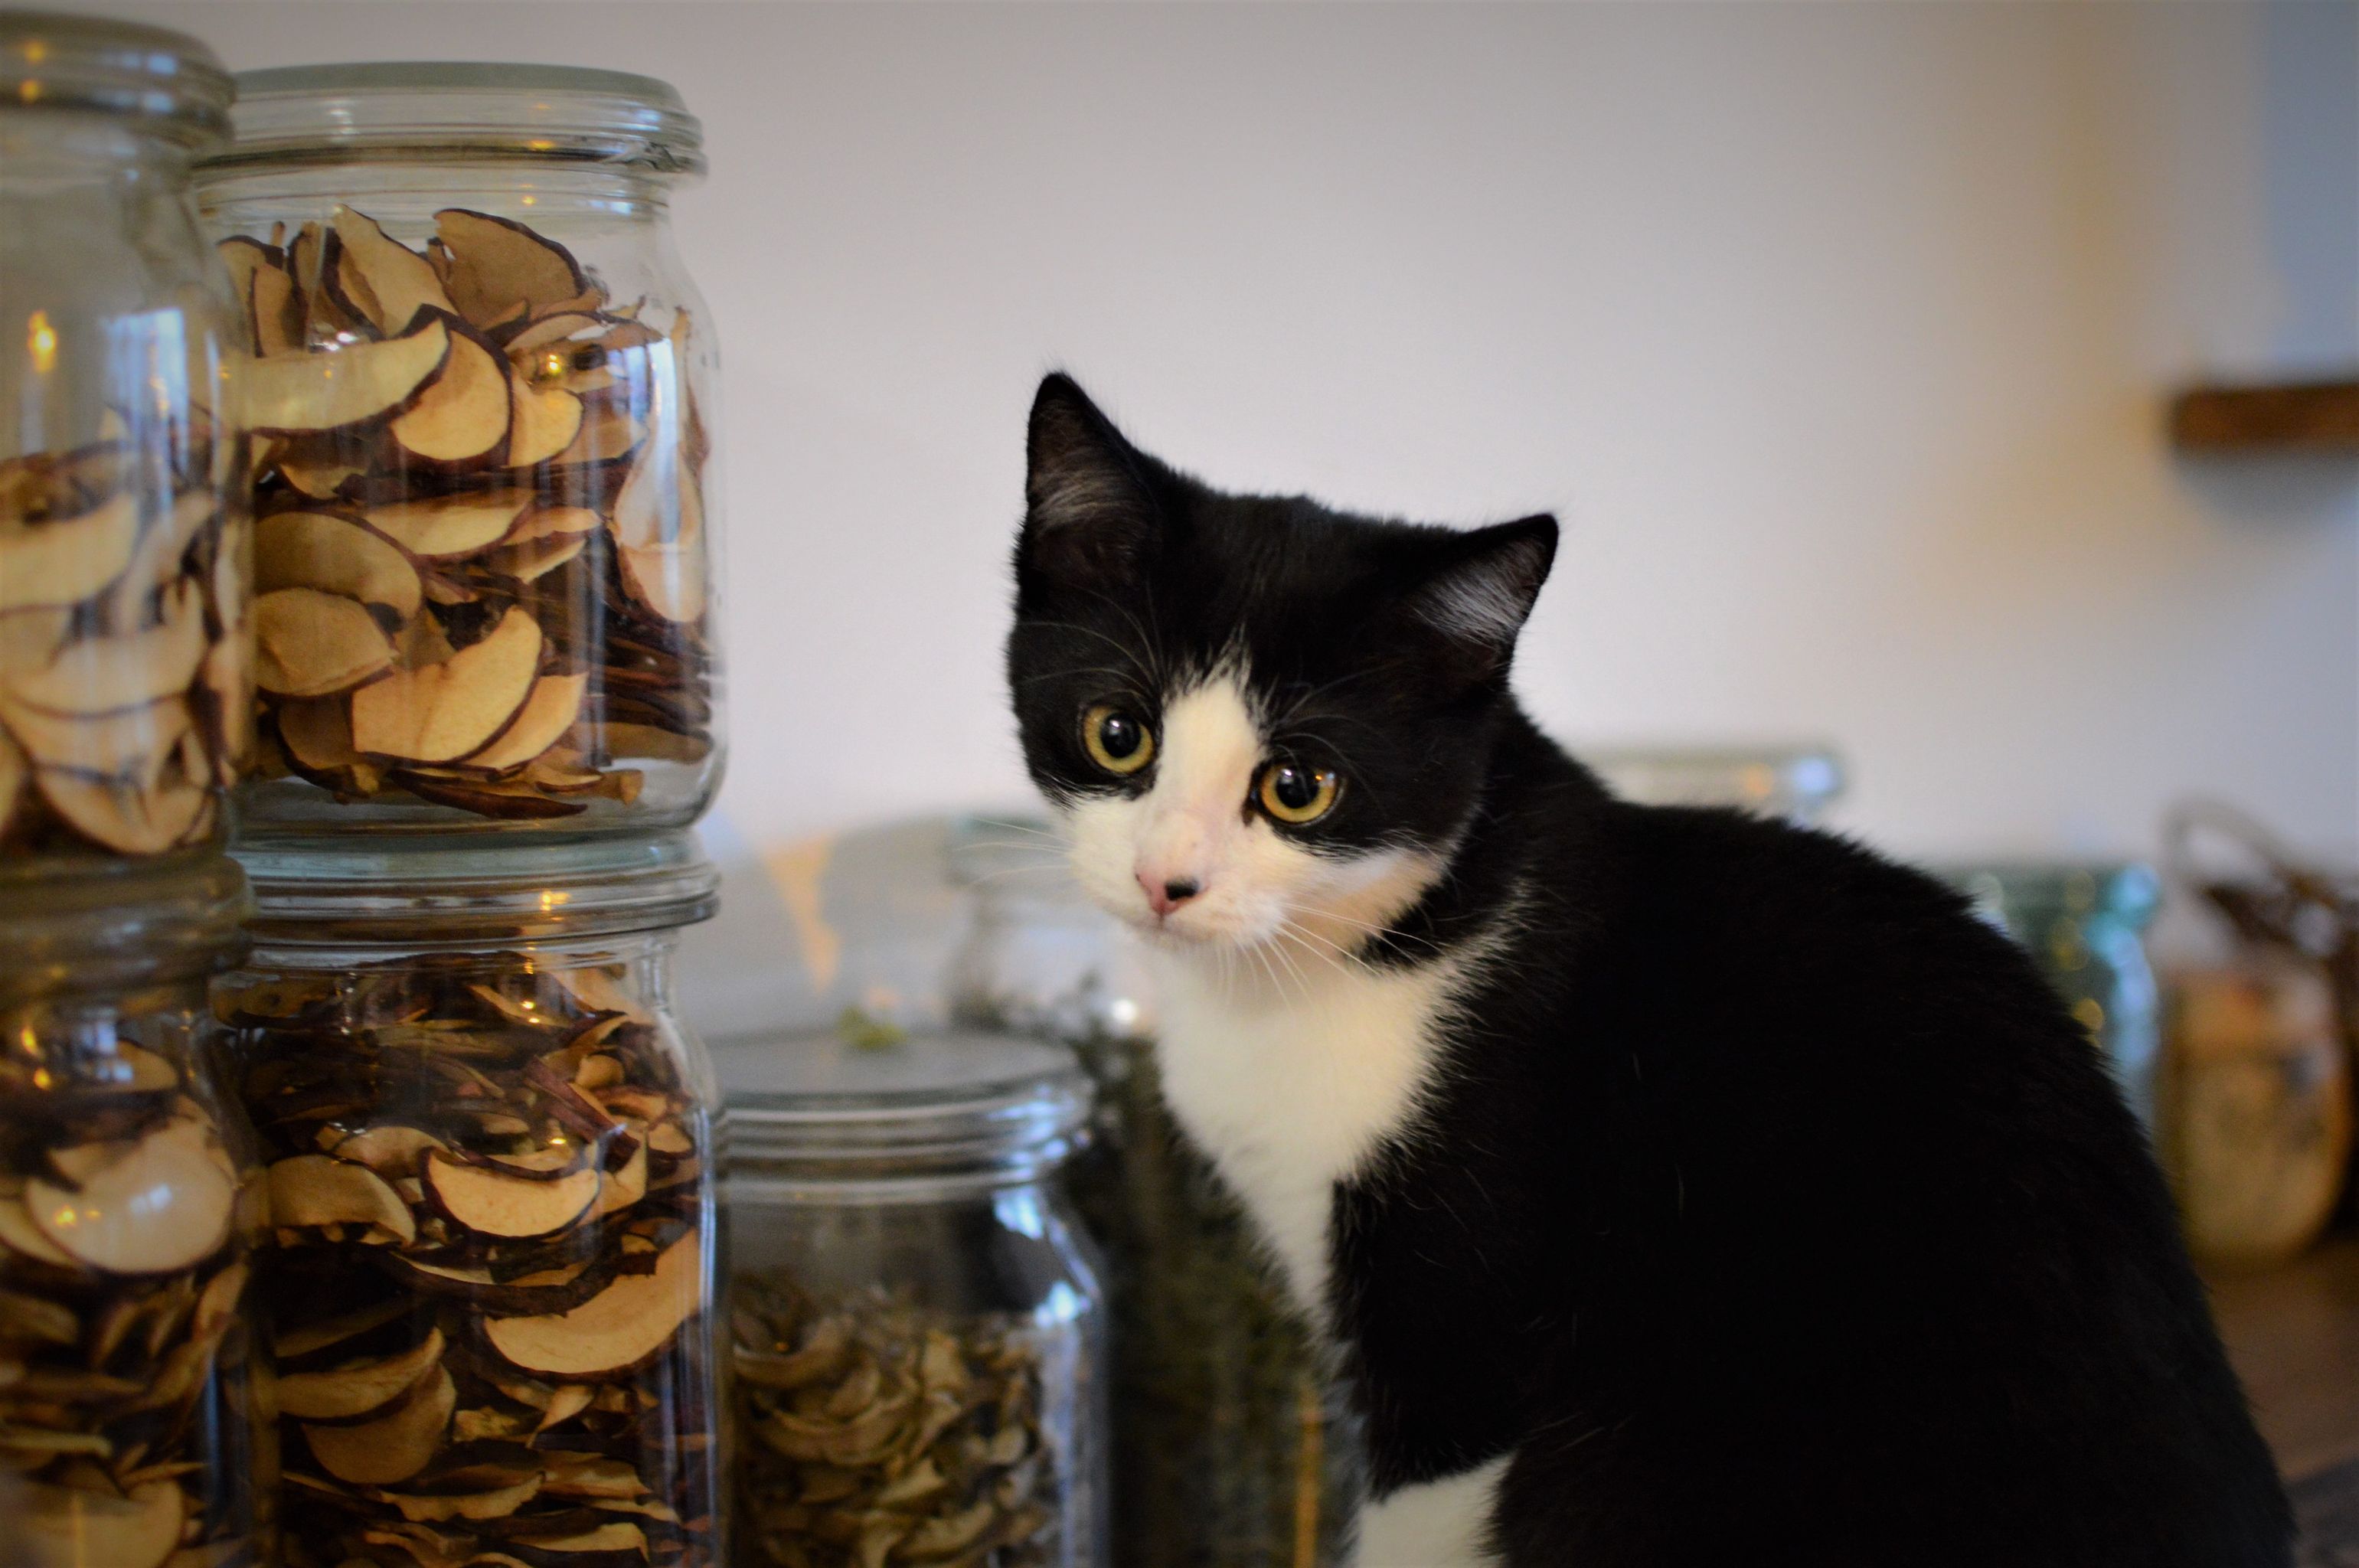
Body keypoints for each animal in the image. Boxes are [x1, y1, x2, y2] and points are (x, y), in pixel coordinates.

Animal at [1004, 373, 2292, 1567]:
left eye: (1297, 787)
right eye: (1118, 734)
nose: (1167, 881)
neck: (1349, 958)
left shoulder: (1465, 1317)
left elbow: (1422, 1510)